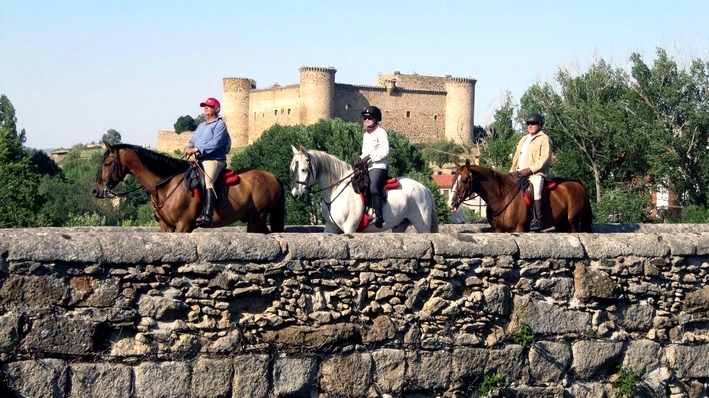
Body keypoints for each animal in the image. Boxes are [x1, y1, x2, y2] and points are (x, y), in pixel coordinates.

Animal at [92, 142, 284, 233]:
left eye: (107, 163)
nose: (95, 189)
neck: (166, 186)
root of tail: (273, 176)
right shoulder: (166, 226)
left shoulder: (184, 225)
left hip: (257, 217)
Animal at [290, 146, 436, 233]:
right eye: (292, 170)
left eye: (303, 170)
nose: (296, 194)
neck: (335, 191)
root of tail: (424, 187)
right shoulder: (331, 227)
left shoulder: (349, 228)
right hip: (399, 226)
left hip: (422, 226)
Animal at [448, 159, 592, 233]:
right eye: (454, 178)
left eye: (464, 180)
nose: (451, 203)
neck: (502, 197)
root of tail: (578, 183)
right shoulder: (498, 230)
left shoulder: (520, 229)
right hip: (561, 224)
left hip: (573, 222)